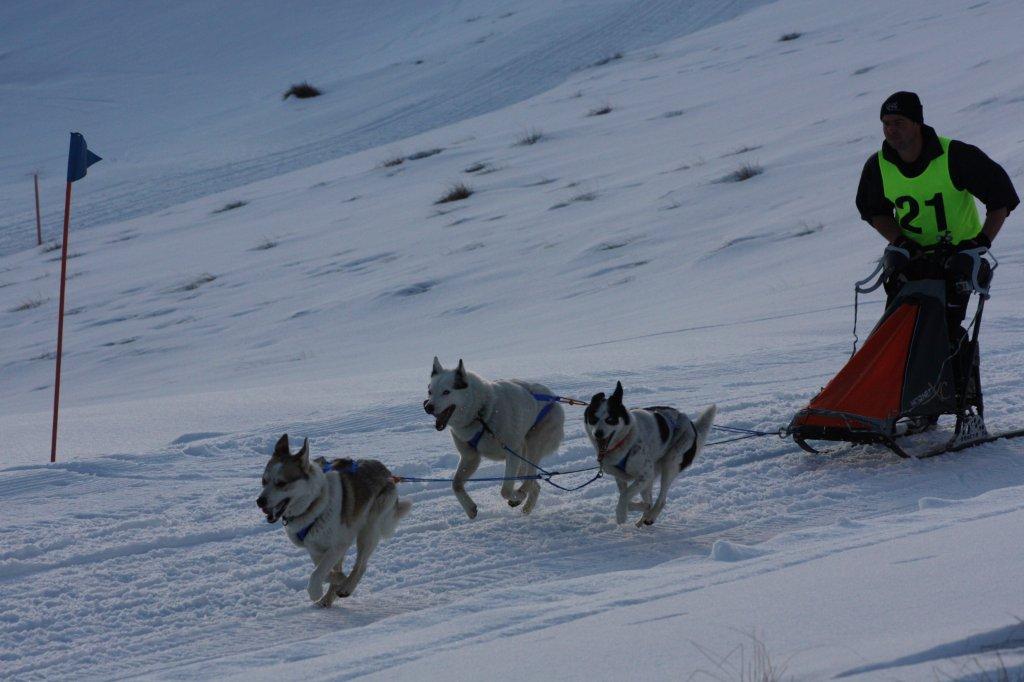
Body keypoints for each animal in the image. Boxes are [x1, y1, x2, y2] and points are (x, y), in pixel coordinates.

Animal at [585, 382, 712, 524]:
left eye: (610, 419)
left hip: (670, 464)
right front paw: (635, 508)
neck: (626, 439)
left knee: (661, 499)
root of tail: (691, 425)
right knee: (650, 499)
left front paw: (621, 514)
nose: (598, 433)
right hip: (651, 476)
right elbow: (626, 495)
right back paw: (644, 517)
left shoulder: (645, 475)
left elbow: (625, 495)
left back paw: (651, 516)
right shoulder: (624, 477)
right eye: (593, 419)